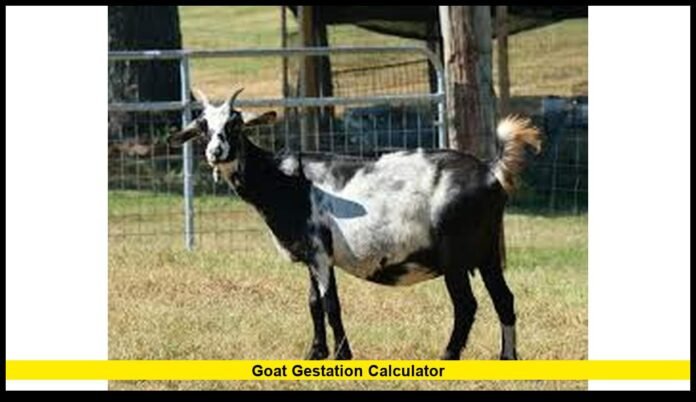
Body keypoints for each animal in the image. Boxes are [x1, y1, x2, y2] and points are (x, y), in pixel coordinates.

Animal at [168, 88, 541, 360]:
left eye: (235, 125)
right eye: (202, 128)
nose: (216, 153)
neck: (284, 180)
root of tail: (491, 170)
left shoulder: (321, 252)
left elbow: (331, 304)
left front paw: (342, 355)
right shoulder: (312, 255)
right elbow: (313, 303)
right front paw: (314, 354)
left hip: (456, 256)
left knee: (466, 306)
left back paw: (447, 356)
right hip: (487, 252)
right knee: (504, 300)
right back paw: (507, 358)